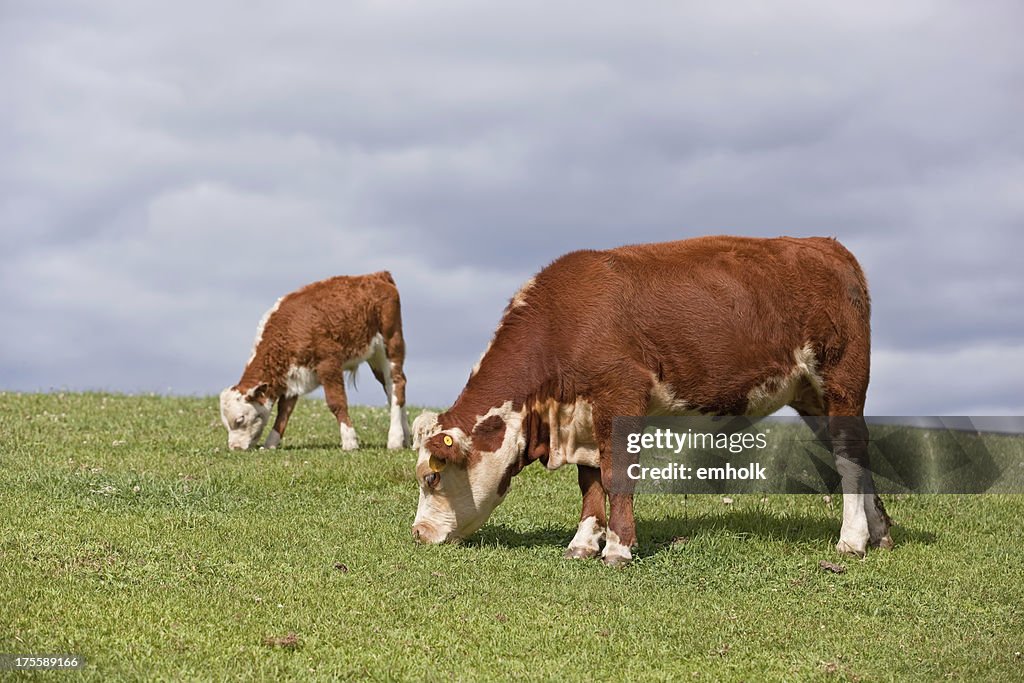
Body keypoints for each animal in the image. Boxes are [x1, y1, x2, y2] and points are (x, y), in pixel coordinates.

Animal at [218, 272, 409, 454]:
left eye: (240, 419)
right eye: (226, 424)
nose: (235, 448)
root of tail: (377, 275)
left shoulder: (329, 364)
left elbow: (336, 403)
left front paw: (350, 442)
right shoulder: (293, 376)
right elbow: (284, 411)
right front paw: (271, 443)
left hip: (391, 343)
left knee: (397, 383)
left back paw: (395, 439)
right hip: (375, 357)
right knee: (391, 390)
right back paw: (406, 437)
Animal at [411, 236, 892, 565]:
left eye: (432, 478)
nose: (417, 533)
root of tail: (827, 246)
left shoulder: (620, 395)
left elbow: (617, 475)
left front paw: (618, 548)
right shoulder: (585, 413)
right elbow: (590, 482)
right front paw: (582, 543)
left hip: (842, 380)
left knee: (849, 454)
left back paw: (852, 539)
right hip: (812, 395)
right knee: (855, 453)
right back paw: (880, 531)